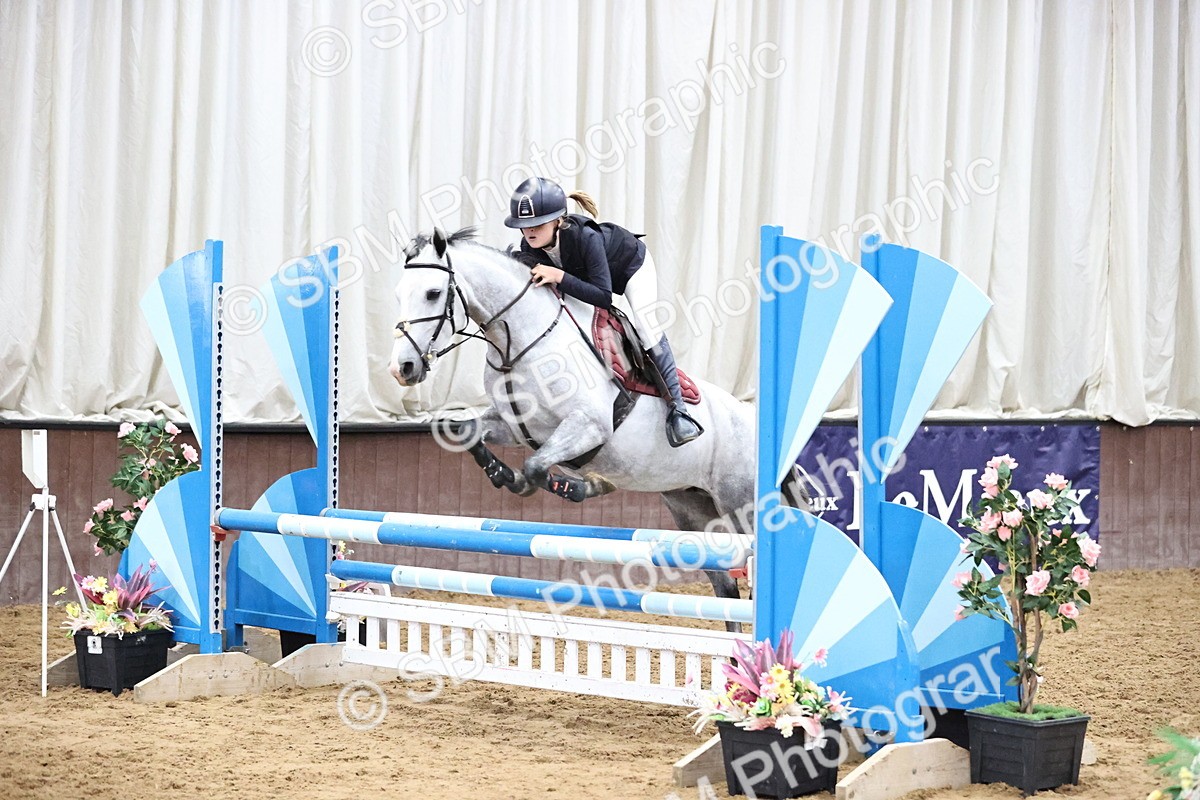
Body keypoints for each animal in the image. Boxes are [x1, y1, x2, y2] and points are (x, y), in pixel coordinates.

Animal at [387, 227, 804, 617]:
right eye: (400, 292)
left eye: (432, 293)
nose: (401, 369)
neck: (520, 341)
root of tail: (754, 420)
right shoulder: (515, 425)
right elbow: (469, 433)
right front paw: (504, 474)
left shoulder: (588, 427)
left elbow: (536, 467)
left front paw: (571, 485)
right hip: (692, 508)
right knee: (725, 589)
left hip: (739, 504)